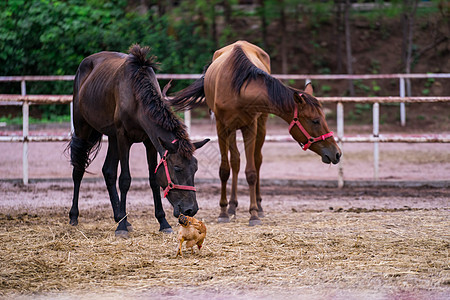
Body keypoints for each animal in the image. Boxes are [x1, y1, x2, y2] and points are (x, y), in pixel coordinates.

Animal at [69, 44, 209, 237]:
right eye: (177, 168)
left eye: (195, 169)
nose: (190, 210)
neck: (137, 96)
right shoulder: (123, 137)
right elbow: (125, 179)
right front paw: (121, 227)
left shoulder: (150, 141)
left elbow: (153, 179)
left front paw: (163, 222)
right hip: (83, 127)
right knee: (79, 169)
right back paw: (75, 216)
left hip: (111, 137)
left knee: (108, 172)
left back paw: (120, 217)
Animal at [171, 41, 342, 226]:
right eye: (315, 120)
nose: (337, 153)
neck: (236, 90)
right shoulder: (221, 127)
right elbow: (224, 170)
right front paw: (223, 212)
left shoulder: (250, 127)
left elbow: (251, 172)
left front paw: (253, 213)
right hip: (231, 130)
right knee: (235, 161)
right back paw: (232, 207)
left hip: (261, 125)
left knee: (257, 160)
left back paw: (258, 207)